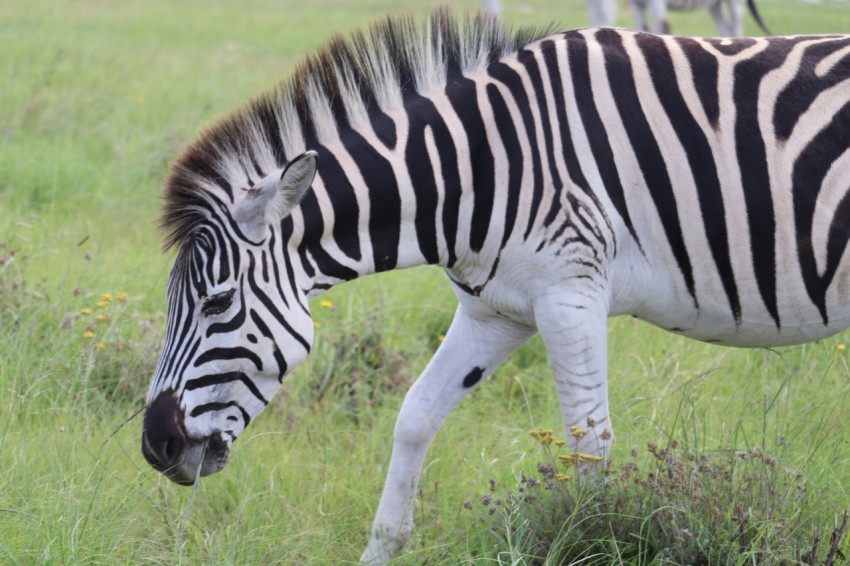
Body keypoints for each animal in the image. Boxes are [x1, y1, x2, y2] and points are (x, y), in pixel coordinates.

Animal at [141, 8, 850, 565]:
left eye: (218, 303)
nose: (155, 447)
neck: (478, 171)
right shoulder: (496, 311)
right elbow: (415, 416)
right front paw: (382, 547)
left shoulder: (570, 293)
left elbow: (588, 443)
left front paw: (595, 541)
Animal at [630, 0, 772, 36]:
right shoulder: (636, 5)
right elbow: (640, 27)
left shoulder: (657, 2)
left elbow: (661, 28)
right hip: (715, 5)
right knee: (725, 29)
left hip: (734, 4)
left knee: (736, 29)